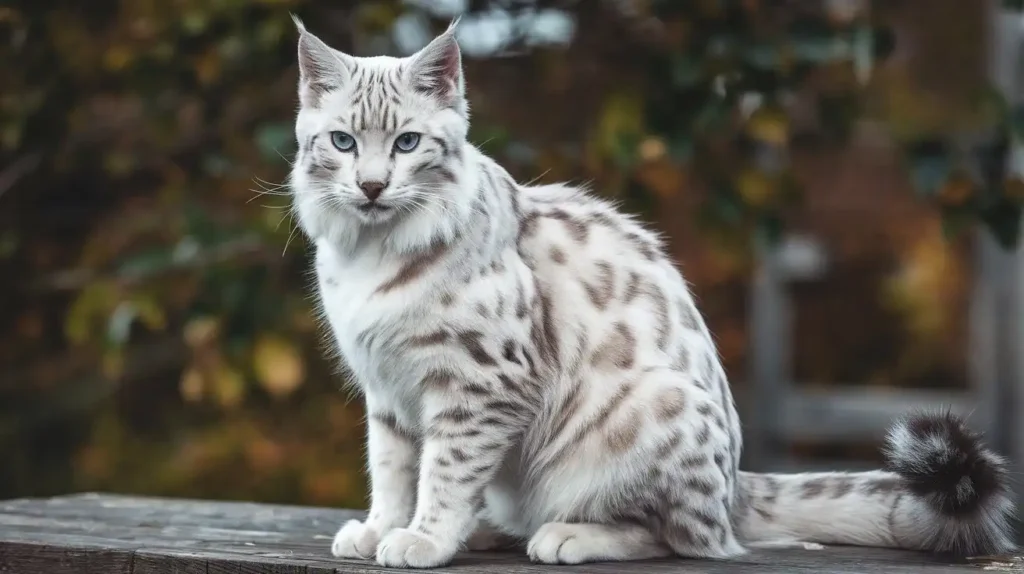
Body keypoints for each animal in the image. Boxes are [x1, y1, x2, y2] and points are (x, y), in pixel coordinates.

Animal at [288, 15, 1015, 564]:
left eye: (408, 143)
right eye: (344, 142)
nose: (372, 186)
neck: (370, 254)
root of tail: (737, 486)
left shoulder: (476, 388)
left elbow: (443, 475)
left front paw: (424, 540)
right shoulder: (388, 394)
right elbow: (392, 474)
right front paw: (382, 531)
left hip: (643, 416)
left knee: (684, 539)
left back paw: (565, 535)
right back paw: (493, 530)